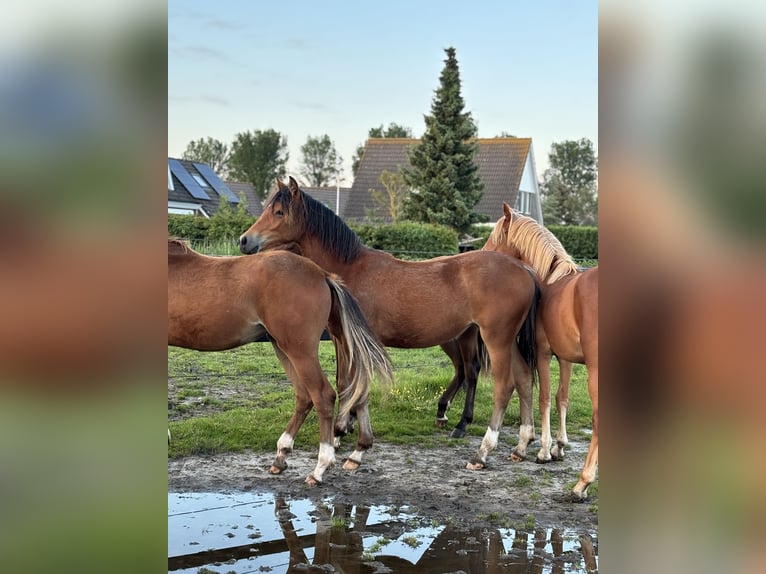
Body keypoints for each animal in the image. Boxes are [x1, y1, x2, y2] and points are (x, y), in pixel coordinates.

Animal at [169, 238, 396, 486]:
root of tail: (323, 275)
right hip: (282, 346)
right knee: (305, 396)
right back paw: (281, 456)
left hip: (299, 350)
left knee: (322, 395)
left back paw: (319, 468)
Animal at [240, 178, 540, 470]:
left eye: (279, 212)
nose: (244, 240)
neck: (351, 269)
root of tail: (524, 269)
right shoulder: (341, 339)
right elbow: (343, 382)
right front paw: (340, 432)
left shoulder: (357, 342)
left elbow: (357, 385)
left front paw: (348, 439)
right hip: (502, 341)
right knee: (523, 378)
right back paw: (521, 445)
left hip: (495, 339)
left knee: (503, 385)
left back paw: (482, 452)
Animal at [486, 206, 600, 500]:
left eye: (495, 238)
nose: (483, 253)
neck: (551, 282)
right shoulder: (566, 358)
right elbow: (562, 398)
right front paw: (559, 446)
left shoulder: (543, 354)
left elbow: (544, 398)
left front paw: (543, 451)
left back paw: (582, 483)